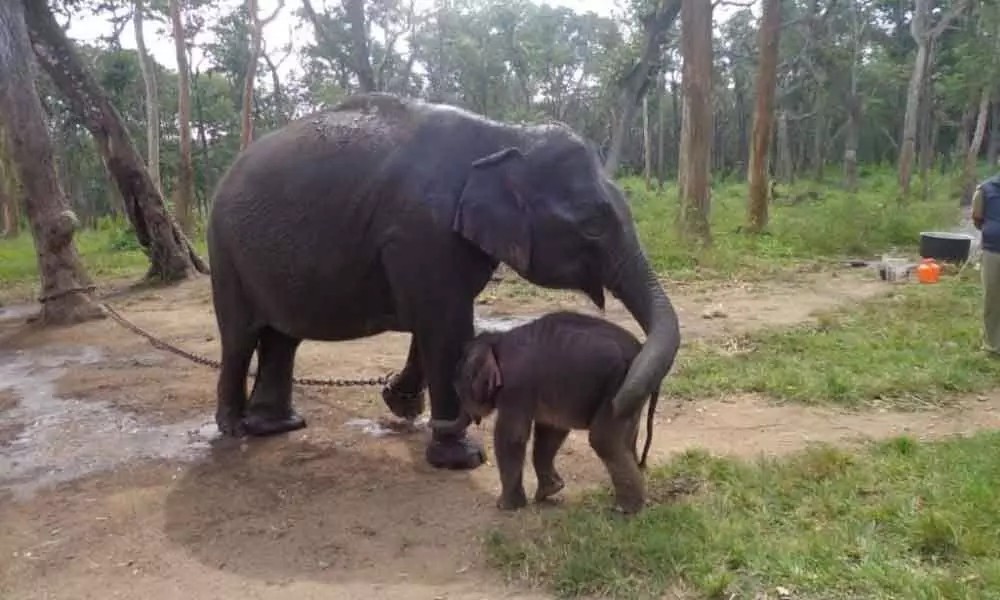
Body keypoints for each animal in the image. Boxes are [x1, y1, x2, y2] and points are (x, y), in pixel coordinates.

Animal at [205, 92, 681, 471]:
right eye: (593, 226)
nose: (617, 410)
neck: (505, 136)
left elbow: (433, 319)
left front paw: (400, 404)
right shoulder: (422, 230)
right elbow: (445, 324)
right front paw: (463, 458)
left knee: (282, 337)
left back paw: (277, 426)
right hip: (224, 250)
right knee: (240, 335)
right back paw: (234, 430)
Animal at [429, 310, 660, 513]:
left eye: (458, 389)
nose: (430, 421)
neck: (497, 341)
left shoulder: (516, 388)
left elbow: (511, 437)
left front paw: (505, 506)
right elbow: (550, 432)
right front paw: (549, 492)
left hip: (617, 388)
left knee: (604, 440)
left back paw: (625, 510)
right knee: (626, 439)